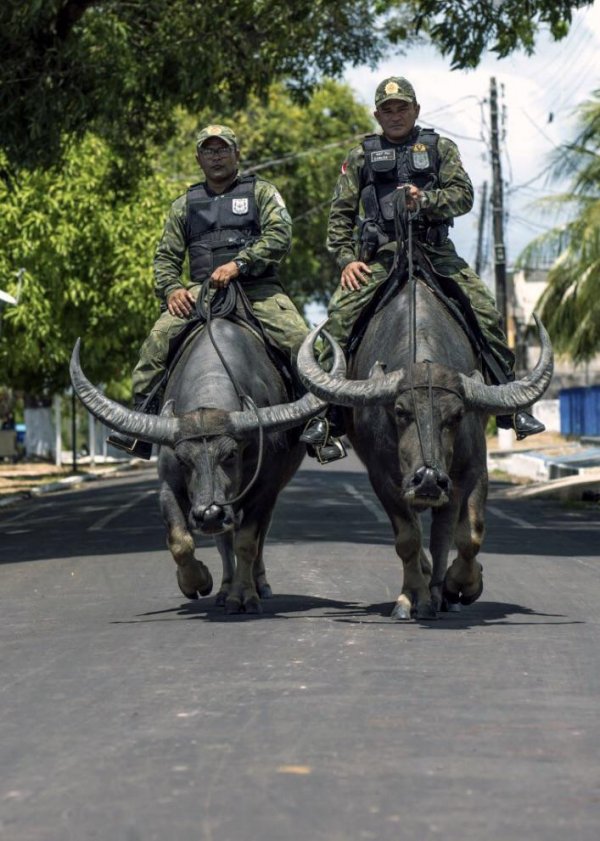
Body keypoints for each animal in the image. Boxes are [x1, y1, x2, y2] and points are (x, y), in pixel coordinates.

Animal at [69, 318, 342, 612]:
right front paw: (197, 582)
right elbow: (180, 541)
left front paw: (244, 596)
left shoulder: (264, 489)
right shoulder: (170, 487)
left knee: (258, 538)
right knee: (223, 540)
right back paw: (224, 590)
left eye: (231, 454)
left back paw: (259, 585)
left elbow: (247, 543)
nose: (209, 514)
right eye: (182, 459)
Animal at [296, 278, 552, 620]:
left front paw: (459, 587)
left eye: (456, 415)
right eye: (401, 411)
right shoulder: (384, 478)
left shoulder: (470, 470)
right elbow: (408, 539)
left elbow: (465, 535)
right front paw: (412, 597)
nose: (428, 479)